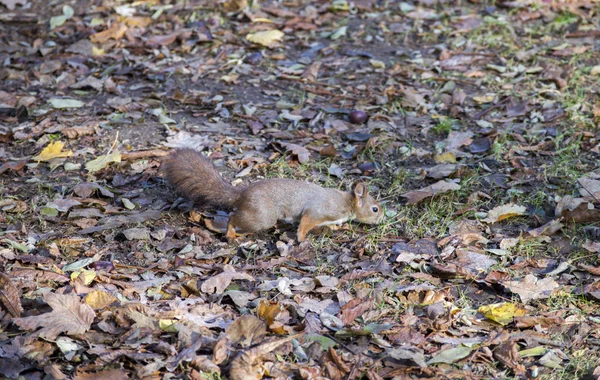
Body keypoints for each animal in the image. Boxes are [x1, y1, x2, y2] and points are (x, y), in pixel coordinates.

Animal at [162, 148, 382, 240]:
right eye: (375, 208)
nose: (381, 220)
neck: (346, 202)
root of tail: (242, 194)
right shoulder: (319, 210)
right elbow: (306, 222)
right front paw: (301, 238)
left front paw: (337, 227)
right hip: (263, 216)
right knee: (233, 218)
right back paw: (231, 234)